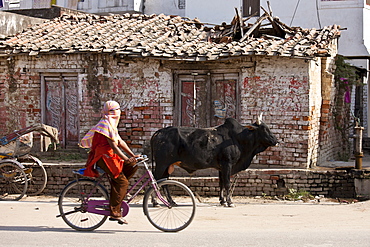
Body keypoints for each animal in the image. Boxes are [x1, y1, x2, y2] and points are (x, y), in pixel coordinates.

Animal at [150, 117, 278, 206]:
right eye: (264, 129)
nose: (276, 140)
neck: (238, 138)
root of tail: (158, 132)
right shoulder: (227, 164)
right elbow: (227, 183)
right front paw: (229, 202)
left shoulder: (221, 167)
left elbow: (221, 183)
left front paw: (222, 201)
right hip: (162, 164)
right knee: (155, 180)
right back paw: (155, 202)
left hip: (167, 166)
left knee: (164, 181)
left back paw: (171, 201)